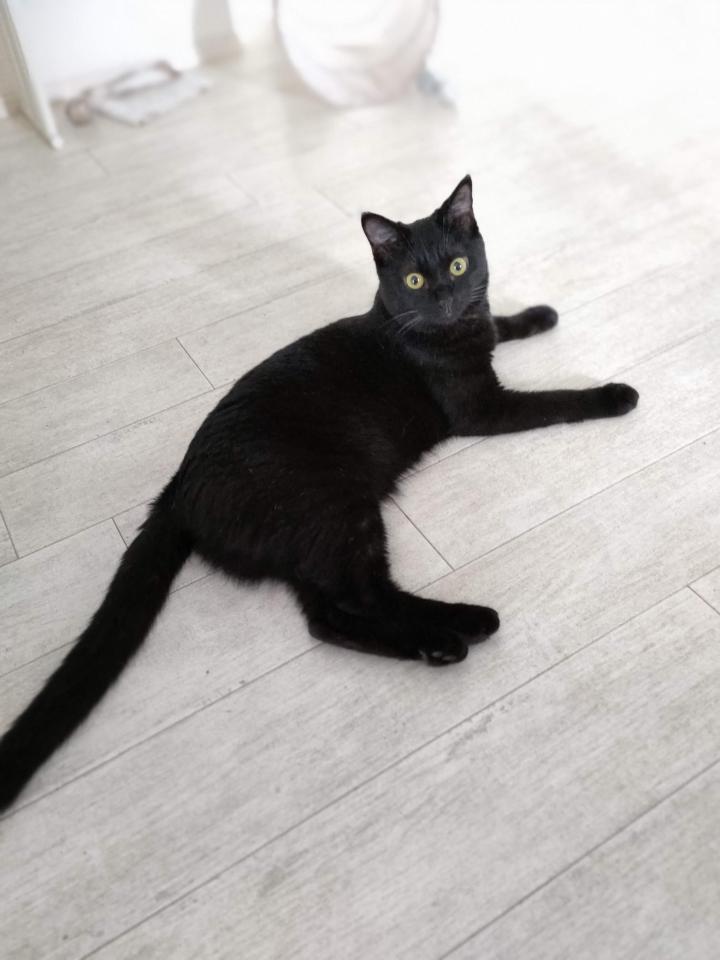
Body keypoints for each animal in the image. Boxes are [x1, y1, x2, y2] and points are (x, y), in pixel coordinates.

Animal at [0, 176, 638, 811]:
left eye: (459, 266)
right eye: (414, 281)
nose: (444, 300)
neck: (441, 330)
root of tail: (180, 487)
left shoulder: (477, 325)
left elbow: (499, 323)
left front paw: (538, 315)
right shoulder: (483, 409)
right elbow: (554, 401)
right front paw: (614, 395)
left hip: (312, 537)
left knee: (327, 618)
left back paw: (433, 646)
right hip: (340, 508)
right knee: (367, 594)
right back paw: (462, 627)